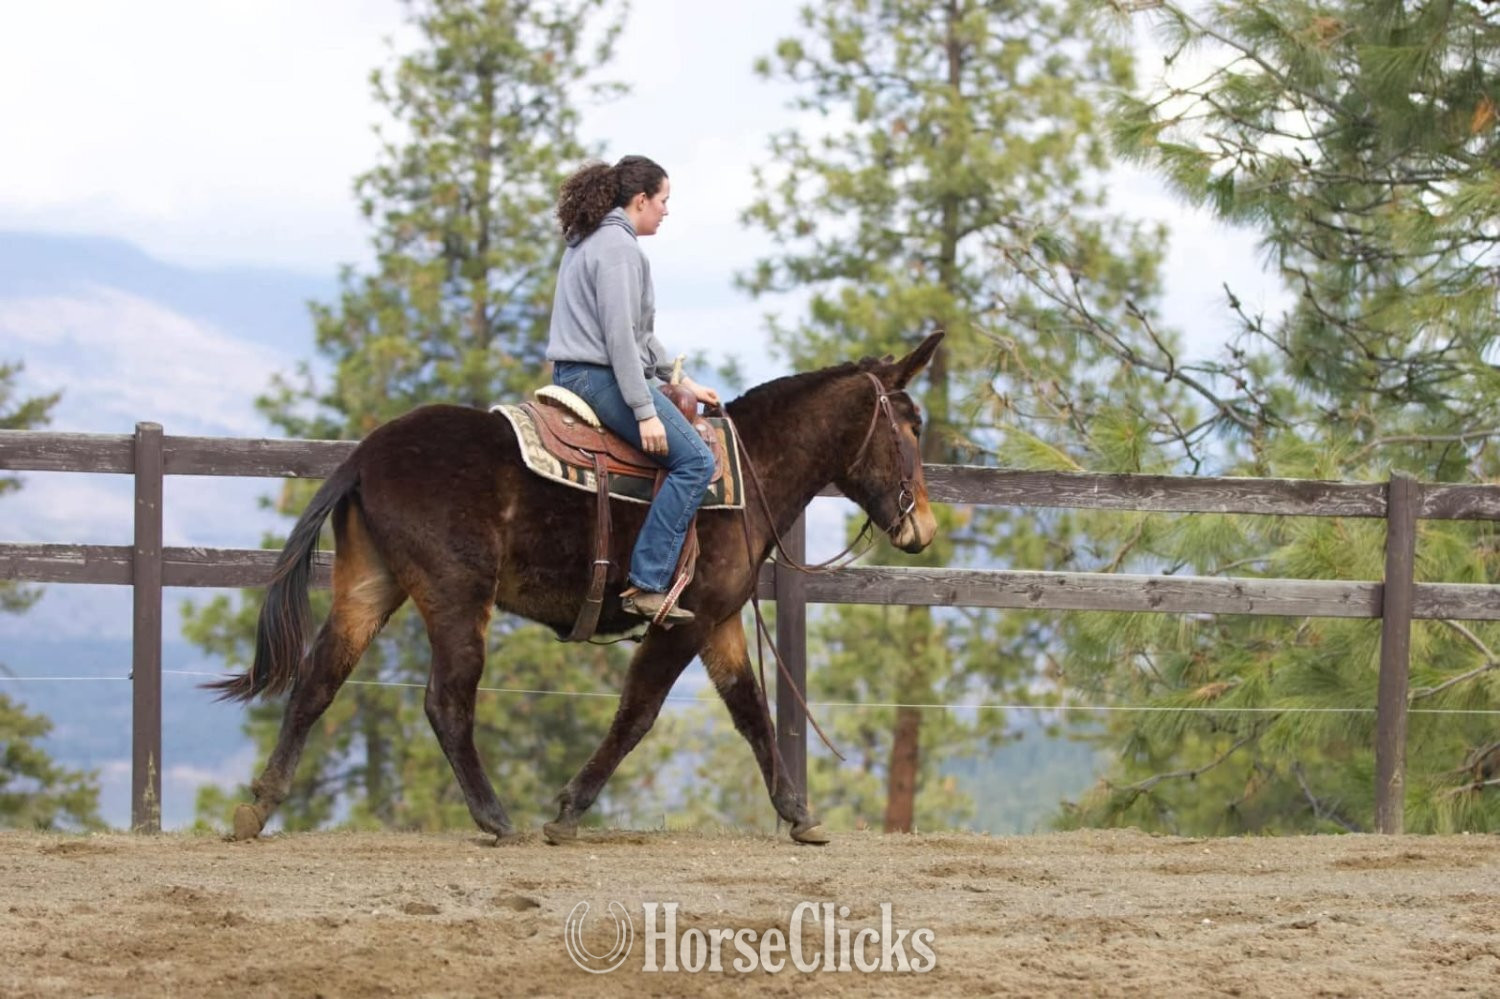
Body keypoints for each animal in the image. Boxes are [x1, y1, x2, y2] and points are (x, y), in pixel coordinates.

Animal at [211, 331, 943, 845]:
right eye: (910, 425)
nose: (924, 526)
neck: (748, 472)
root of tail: (365, 455)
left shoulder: (721, 622)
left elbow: (751, 713)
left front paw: (798, 814)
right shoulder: (684, 620)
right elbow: (637, 712)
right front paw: (566, 810)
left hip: (370, 585)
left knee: (318, 682)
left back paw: (259, 805)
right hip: (456, 596)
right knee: (446, 702)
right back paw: (495, 817)